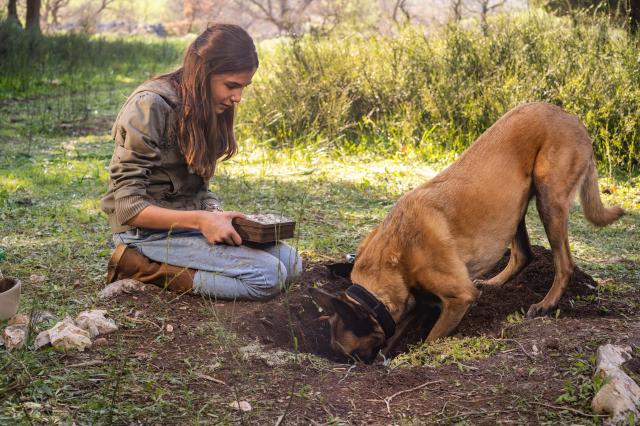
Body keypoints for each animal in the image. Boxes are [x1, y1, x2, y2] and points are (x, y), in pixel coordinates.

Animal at [312, 102, 624, 362]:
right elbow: (400, 329)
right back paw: (495, 282)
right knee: (524, 254)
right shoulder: (420, 302)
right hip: (513, 206)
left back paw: (545, 304)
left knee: (564, 263)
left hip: (549, 199)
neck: (395, 254)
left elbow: (430, 338)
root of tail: (571, 117)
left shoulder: (458, 298)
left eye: (349, 353)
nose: (355, 365)